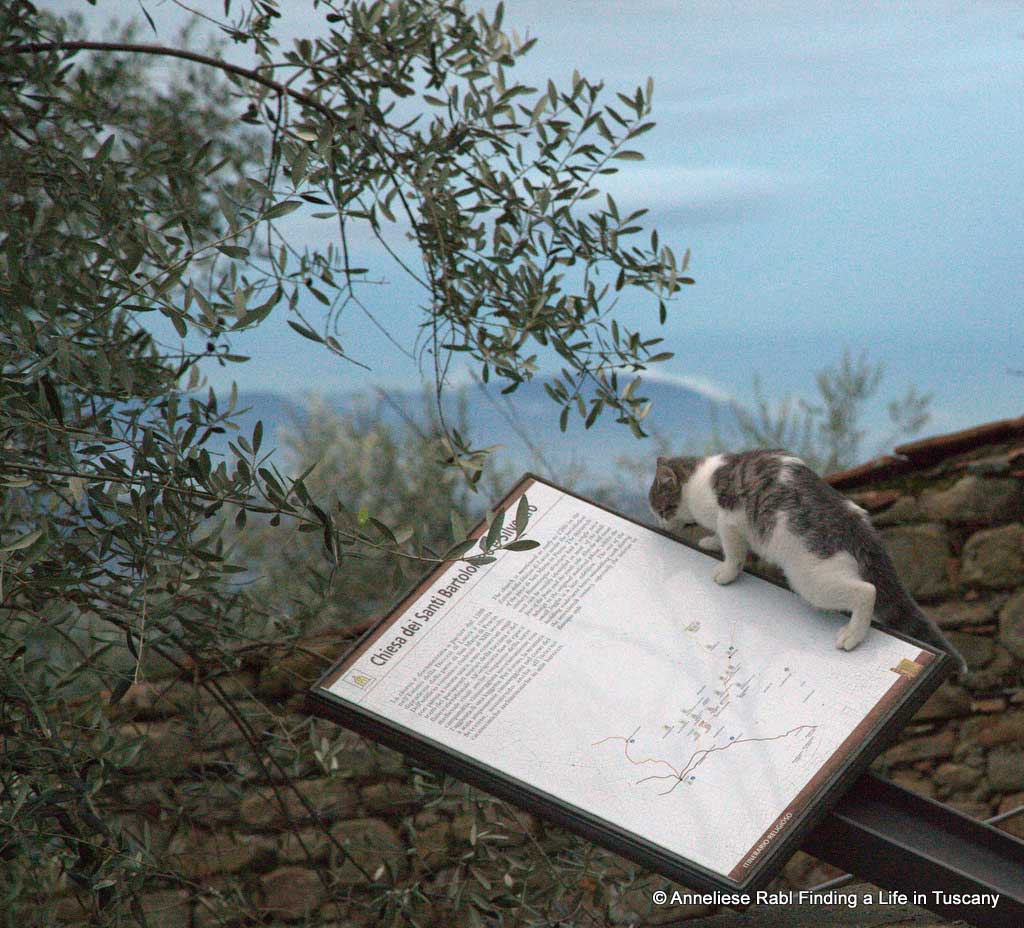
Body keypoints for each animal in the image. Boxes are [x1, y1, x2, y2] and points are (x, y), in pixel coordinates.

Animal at [647, 444, 966, 667]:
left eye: (661, 510)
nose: (660, 525)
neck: (699, 479)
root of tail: (857, 523)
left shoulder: (730, 519)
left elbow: (735, 552)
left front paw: (725, 572)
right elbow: (725, 542)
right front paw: (711, 541)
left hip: (812, 581)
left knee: (867, 591)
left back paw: (853, 635)